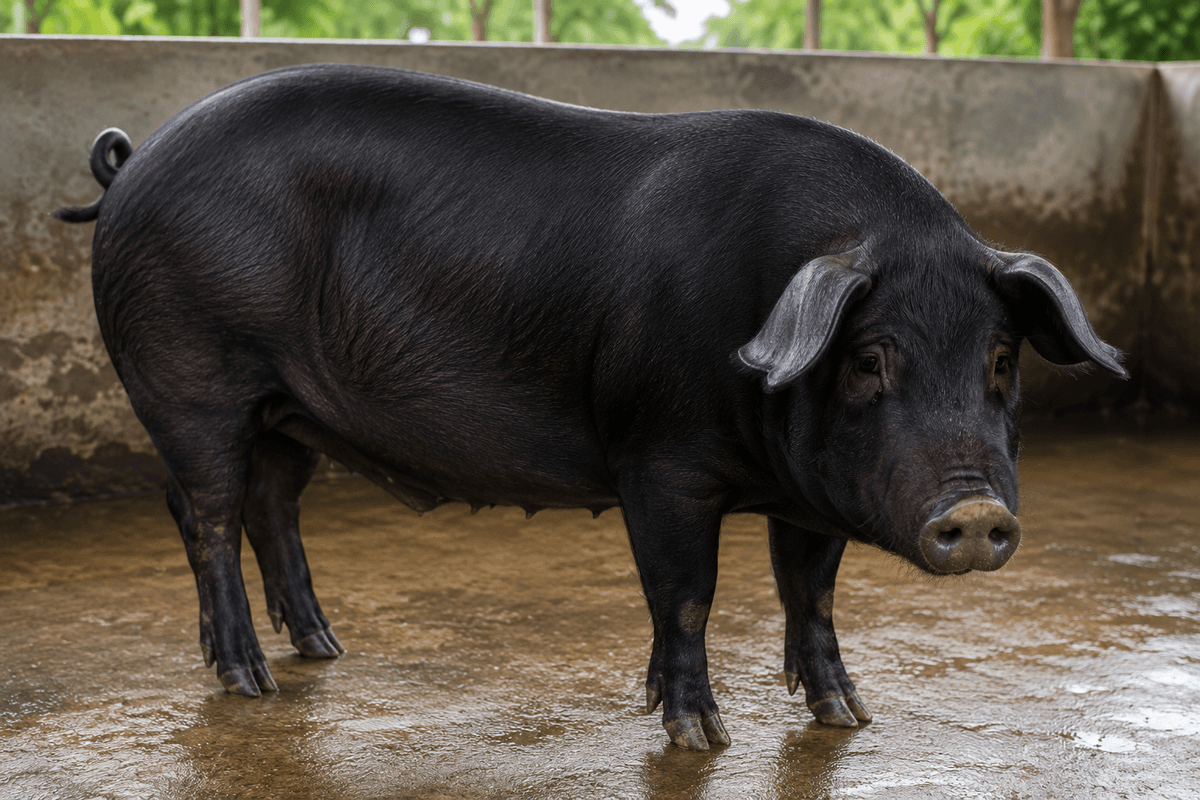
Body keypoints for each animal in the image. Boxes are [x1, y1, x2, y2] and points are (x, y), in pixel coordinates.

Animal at [56, 64, 1126, 750]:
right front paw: (698, 736)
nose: (976, 511)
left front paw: (847, 717)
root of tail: (131, 163)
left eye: (1000, 359)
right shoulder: (660, 461)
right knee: (204, 513)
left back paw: (323, 648)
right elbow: (686, 593)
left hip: (290, 410)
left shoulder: (807, 492)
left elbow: (810, 592)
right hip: (190, 380)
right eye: (867, 361)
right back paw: (252, 679)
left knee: (273, 504)